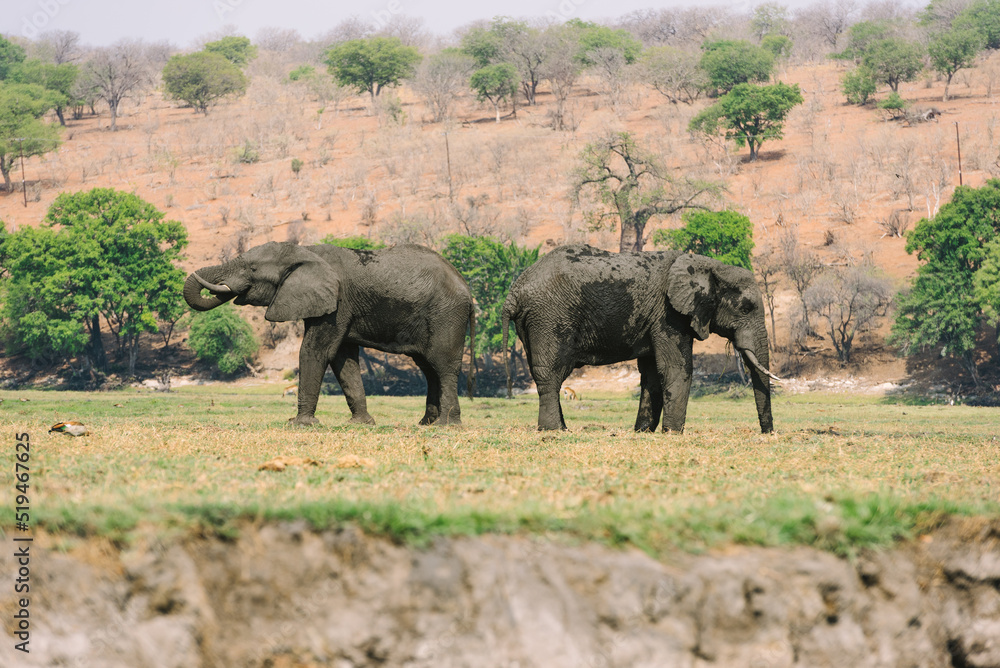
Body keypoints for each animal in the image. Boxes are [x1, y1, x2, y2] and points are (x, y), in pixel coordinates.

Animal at [183, 241, 475, 426]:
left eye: (252, 269)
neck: (305, 251)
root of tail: (466, 287)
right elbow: (342, 359)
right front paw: (360, 424)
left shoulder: (337, 302)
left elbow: (316, 350)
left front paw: (300, 424)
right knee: (429, 368)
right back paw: (426, 424)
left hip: (446, 314)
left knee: (443, 366)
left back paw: (446, 426)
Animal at [501, 245, 779, 433]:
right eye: (746, 308)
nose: (767, 433)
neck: (710, 266)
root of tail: (515, 291)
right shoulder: (669, 315)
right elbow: (676, 368)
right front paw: (672, 433)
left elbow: (652, 373)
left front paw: (643, 431)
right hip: (549, 317)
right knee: (551, 373)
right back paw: (554, 431)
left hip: (533, 323)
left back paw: (561, 428)